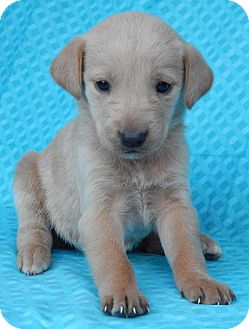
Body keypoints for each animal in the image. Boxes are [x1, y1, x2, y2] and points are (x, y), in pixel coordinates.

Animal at [13, 11, 235, 316]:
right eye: (102, 85)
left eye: (163, 86)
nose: (132, 137)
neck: (137, 165)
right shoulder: (99, 212)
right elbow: (114, 259)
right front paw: (123, 292)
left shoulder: (175, 204)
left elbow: (184, 247)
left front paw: (200, 279)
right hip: (27, 172)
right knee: (33, 224)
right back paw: (33, 252)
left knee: (154, 241)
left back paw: (203, 242)